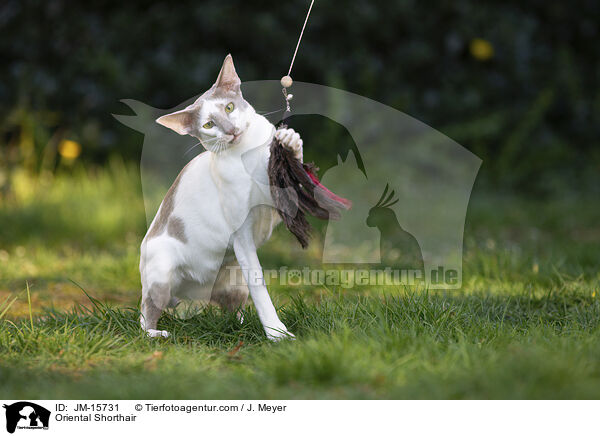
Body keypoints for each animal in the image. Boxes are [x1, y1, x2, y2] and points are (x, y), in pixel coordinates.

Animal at [138, 54, 302, 340]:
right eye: (208, 125)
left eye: (228, 107)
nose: (231, 130)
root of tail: (194, 295)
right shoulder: (242, 234)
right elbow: (260, 286)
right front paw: (277, 335)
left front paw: (291, 142)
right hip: (160, 272)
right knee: (146, 312)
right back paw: (156, 334)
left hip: (234, 281)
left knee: (232, 310)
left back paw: (241, 325)